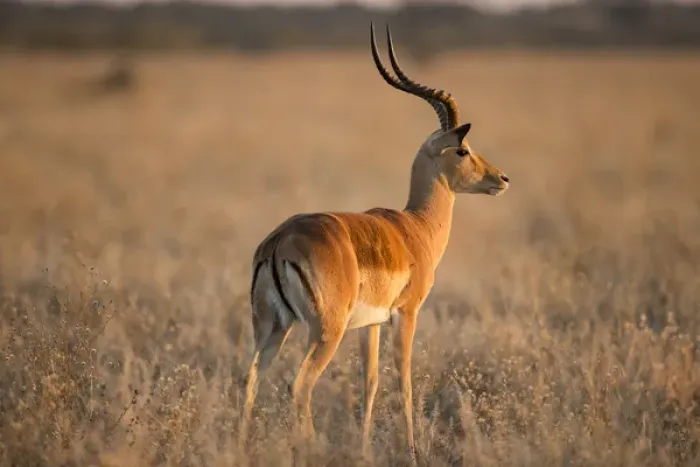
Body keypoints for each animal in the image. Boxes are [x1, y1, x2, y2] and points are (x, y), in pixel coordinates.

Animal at [241, 23, 510, 459]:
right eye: (463, 149)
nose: (501, 179)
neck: (415, 228)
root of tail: (279, 241)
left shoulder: (371, 323)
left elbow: (370, 382)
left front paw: (365, 449)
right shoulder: (407, 312)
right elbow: (404, 381)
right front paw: (412, 452)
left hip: (272, 326)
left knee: (249, 379)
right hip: (324, 330)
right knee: (299, 385)